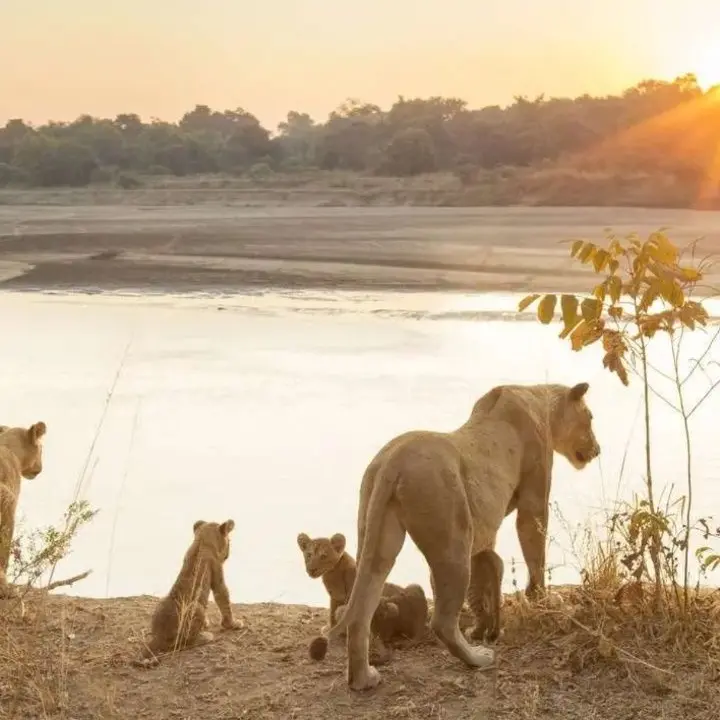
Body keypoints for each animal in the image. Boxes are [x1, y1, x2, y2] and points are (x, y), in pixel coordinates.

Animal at [133, 519, 242, 667]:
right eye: (229, 540)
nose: (228, 554)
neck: (201, 541)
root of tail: (159, 636)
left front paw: (206, 623)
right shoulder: (217, 573)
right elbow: (224, 599)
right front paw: (233, 624)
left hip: (162, 601)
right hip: (196, 607)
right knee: (185, 643)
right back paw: (205, 636)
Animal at [323, 382, 600, 691]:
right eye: (590, 417)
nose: (597, 449)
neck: (540, 400)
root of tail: (393, 461)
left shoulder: (485, 528)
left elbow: (484, 577)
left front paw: (485, 626)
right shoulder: (534, 498)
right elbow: (535, 550)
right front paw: (541, 599)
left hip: (380, 536)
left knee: (361, 612)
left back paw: (363, 679)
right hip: (453, 538)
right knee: (442, 621)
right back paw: (478, 658)